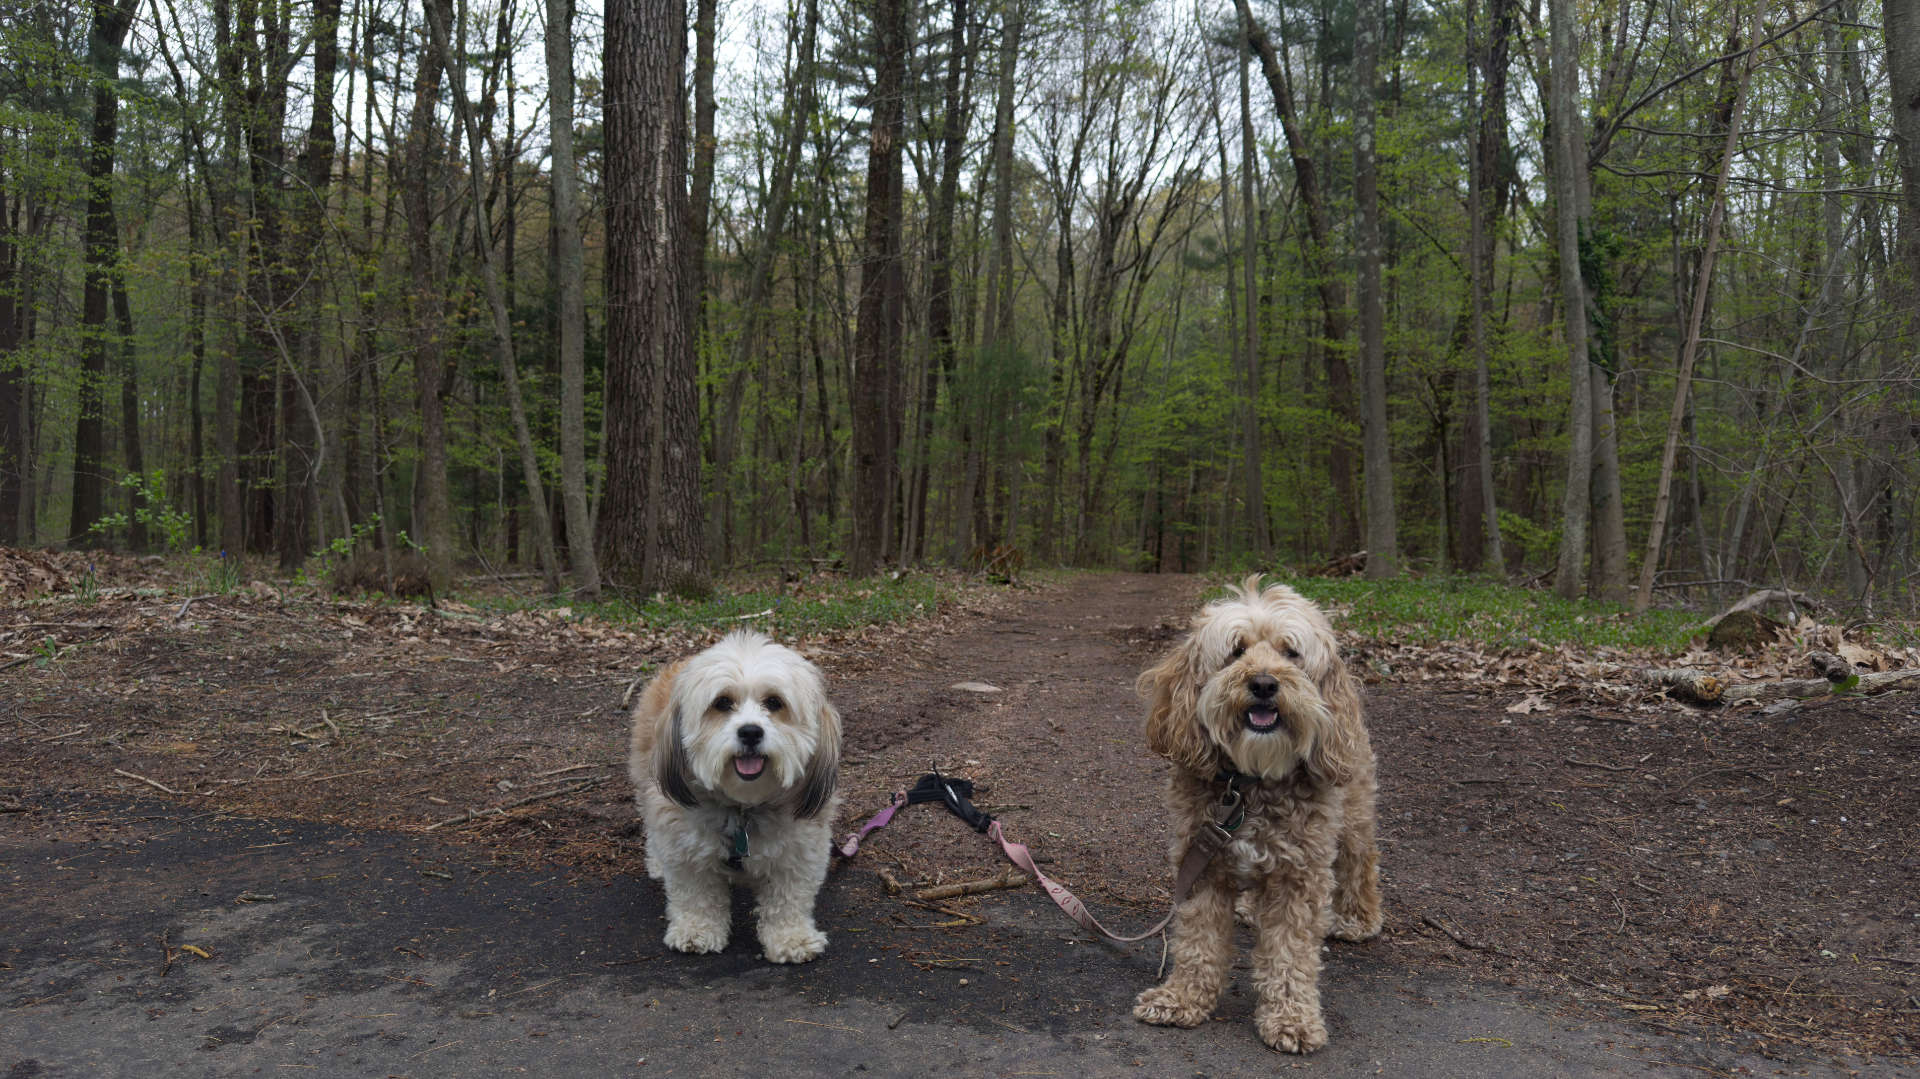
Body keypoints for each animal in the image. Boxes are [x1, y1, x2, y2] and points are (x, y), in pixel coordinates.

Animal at [629, 629, 840, 956]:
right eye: (722, 703)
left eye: (774, 702)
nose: (750, 732)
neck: (743, 809)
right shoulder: (684, 845)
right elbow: (695, 895)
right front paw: (697, 930)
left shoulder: (801, 848)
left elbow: (789, 898)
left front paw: (791, 938)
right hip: (646, 781)